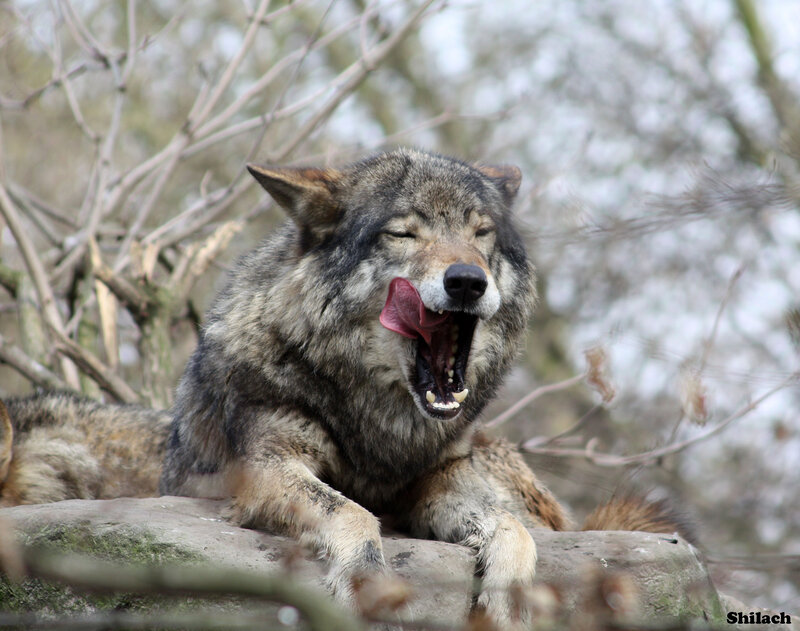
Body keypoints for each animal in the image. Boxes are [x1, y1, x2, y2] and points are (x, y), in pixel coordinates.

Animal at [157, 148, 692, 625]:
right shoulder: (266, 466)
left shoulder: (443, 476)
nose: (467, 281)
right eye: (403, 233)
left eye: (481, 232)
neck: (384, 430)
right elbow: (352, 511)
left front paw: (510, 601)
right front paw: (367, 584)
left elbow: (512, 527)